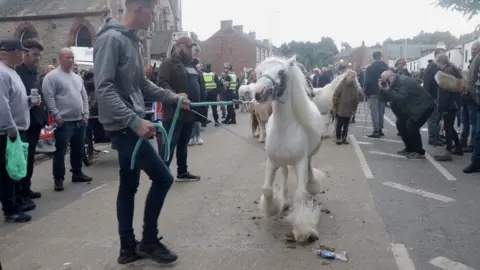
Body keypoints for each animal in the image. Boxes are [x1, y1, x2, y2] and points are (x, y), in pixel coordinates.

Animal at [253, 56, 324, 243]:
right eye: (259, 72)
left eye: (281, 72)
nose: (258, 92)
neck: (284, 128)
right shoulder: (272, 161)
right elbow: (267, 189)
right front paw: (272, 209)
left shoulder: (300, 162)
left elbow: (300, 194)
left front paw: (303, 230)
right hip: (282, 161)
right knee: (284, 173)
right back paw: (284, 201)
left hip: (307, 157)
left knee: (309, 169)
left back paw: (312, 186)